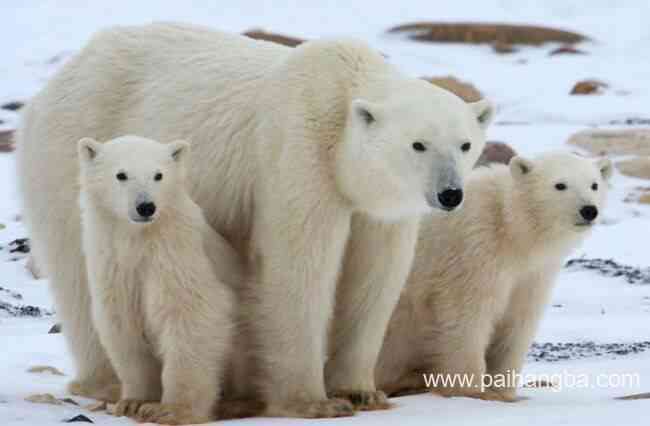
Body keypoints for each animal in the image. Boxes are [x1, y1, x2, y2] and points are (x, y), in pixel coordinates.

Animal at [16, 22, 492, 416]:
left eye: (465, 144)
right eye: (418, 144)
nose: (450, 193)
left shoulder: (378, 207)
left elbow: (375, 278)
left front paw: (360, 391)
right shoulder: (297, 152)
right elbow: (296, 268)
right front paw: (312, 401)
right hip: (74, 150)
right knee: (78, 270)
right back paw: (111, 384)